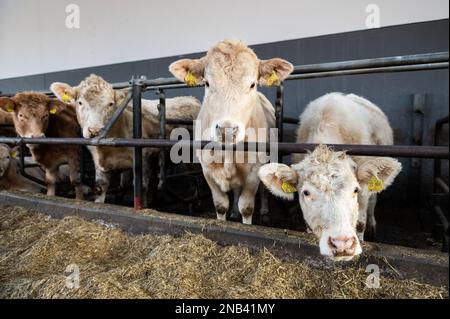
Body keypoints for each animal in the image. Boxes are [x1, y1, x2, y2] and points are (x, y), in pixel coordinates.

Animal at [168, 39, 292, 225]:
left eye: (252, 84)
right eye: (207, 83)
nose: (227, 130)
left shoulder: (253, 171)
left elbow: (246, 207)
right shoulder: (207, 170)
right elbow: (221, 205)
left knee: (264, 189)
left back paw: (264, 212)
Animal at [258, 92, 402, 260]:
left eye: (355, 190)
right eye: (306, 192)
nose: (342, 243)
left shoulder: (363, 191)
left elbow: (360, 223)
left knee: (373, 200)